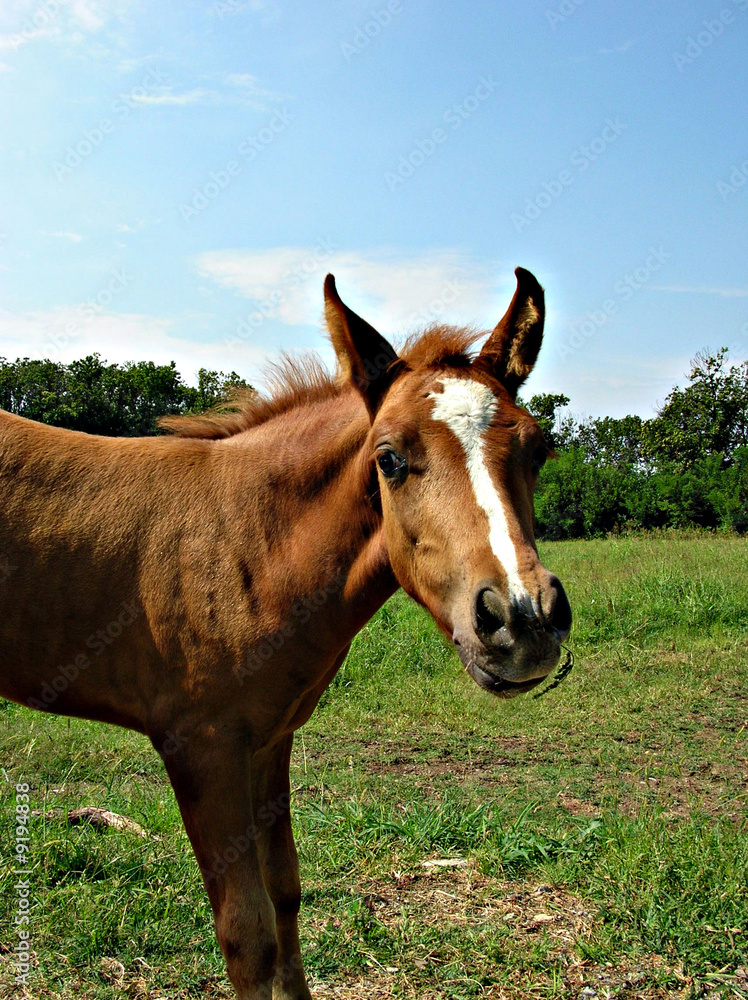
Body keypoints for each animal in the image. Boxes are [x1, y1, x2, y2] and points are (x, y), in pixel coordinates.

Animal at [0, 266, 571, 999]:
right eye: (389, 459)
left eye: (539, 447)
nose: (524, 619)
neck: (247, 540)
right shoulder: (201, 748)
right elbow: (247, 936)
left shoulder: (270, 741)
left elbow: (287, 894)